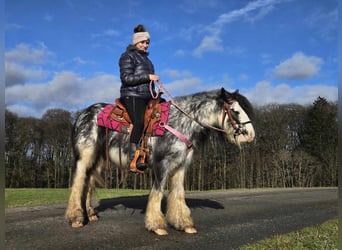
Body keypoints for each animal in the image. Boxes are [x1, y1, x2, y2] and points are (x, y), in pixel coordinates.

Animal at [65, 87, 255, 235]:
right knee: (78, 183)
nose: (251, 135)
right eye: (235, 111)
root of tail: (83, 115)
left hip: (96, 160)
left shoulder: (180, 166)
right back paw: (76, 218)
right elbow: (157, 192)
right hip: (84, 157)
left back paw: (90, 214)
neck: (180, 123)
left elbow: (178, 194)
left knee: (88, 183)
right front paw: (157, 225)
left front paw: (184, 224)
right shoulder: (161, 165)